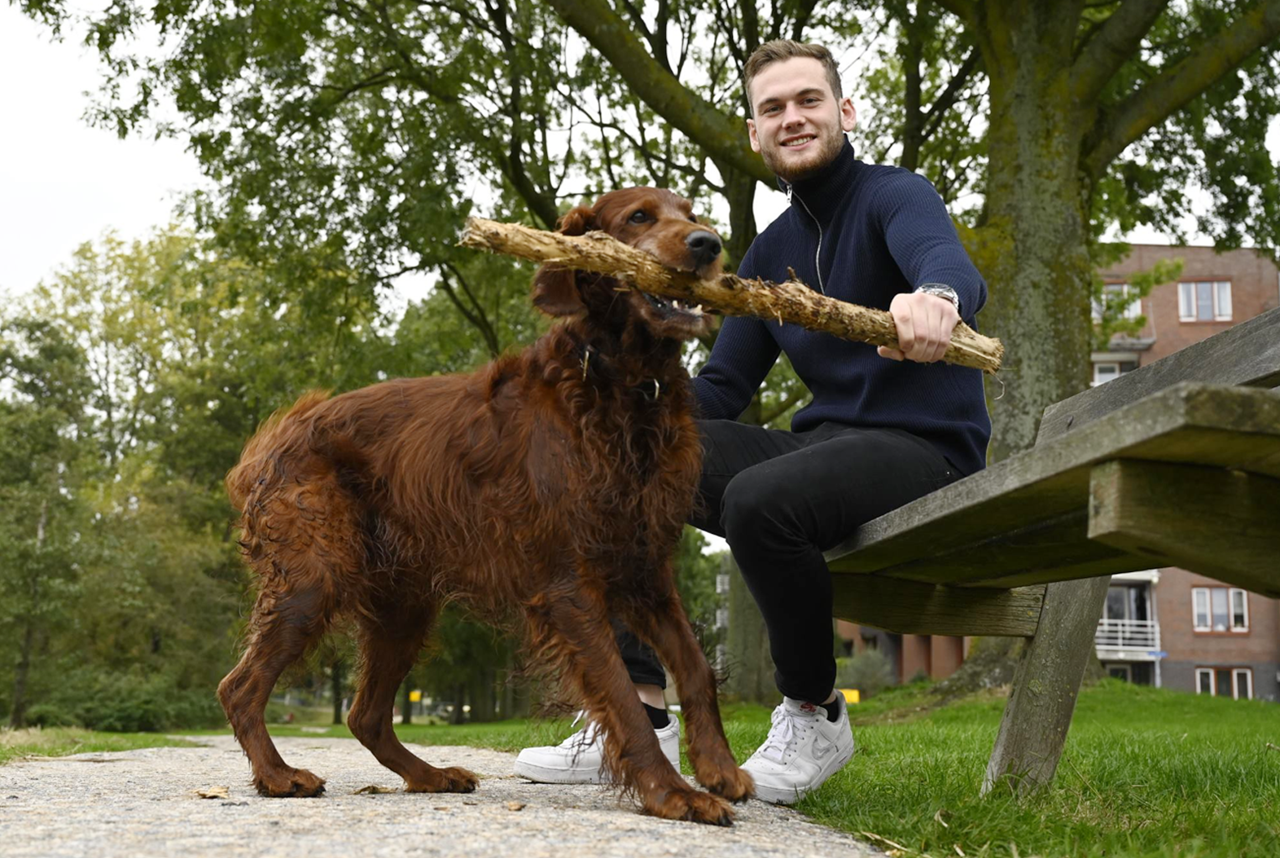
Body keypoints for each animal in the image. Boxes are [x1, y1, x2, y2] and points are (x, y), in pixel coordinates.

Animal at [220, 188, 752, 824]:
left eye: (690, 212)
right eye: (639, 217)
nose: (708, 244)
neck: (622, 387)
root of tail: (273, 438)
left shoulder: (645, 570)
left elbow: (696, 667)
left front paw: (718, 768)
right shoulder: (569, 584)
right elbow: (623, 695)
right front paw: (672, 793)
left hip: (404, 604)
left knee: (364, 714)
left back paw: (429, 776)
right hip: (313, 580)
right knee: (240, 688)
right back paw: (279, 776)